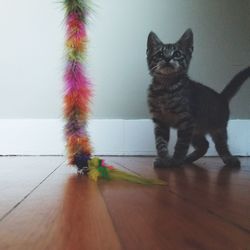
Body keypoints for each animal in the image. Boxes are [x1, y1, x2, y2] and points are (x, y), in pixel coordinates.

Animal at [146, 28, 250, 168]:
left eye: (177, 54)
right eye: (160, 54)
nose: (167, 58)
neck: (166, 88)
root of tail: (221, 96)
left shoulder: (186, 121)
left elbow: (181, 145)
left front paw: (175, 161)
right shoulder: (160, 121)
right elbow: (160, 143)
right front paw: (164, 159)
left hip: (217, 128)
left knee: (221, 145)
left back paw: (229, 159)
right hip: (196, 130)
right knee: (204, 145)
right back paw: (188, 159)